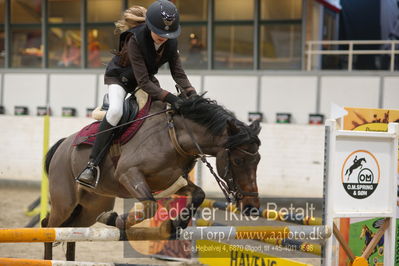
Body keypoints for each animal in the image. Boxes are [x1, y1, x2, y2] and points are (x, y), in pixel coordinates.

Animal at [43, 94, 262, 260]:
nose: (251, 207)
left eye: (258, 159)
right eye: (238, 160)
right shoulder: (129, 174)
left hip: (91, 207)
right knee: (48, 226)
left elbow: (198, 195)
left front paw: (175, 225)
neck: (174, 137)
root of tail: (63, 144)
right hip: (65, 203)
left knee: (71, 231)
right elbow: (150, 206)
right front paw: (115, 219)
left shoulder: (172, 181)